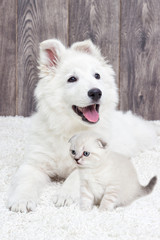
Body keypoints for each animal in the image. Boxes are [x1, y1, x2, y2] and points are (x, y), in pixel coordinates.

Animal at [7, 38, 159, 212]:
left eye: (97, 76)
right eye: (72, 79)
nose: (96, 92)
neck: (71, 127)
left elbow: (74, 177)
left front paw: (64, 195)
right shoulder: (35, 162)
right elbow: (26, 180)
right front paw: (22, 200)